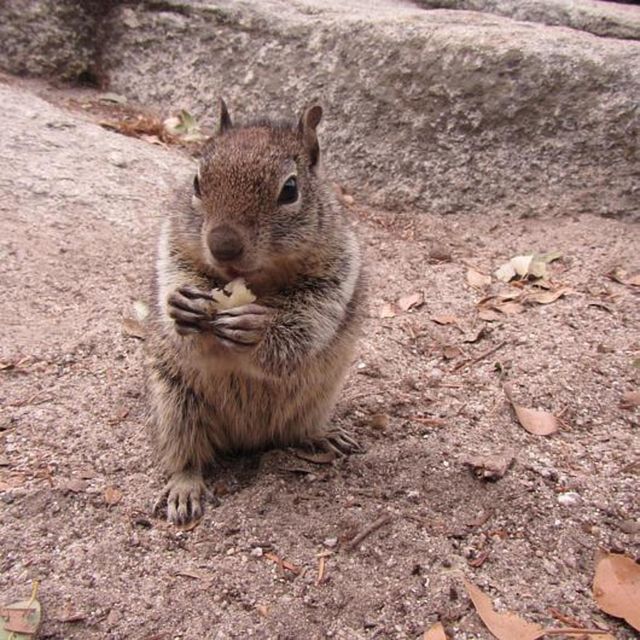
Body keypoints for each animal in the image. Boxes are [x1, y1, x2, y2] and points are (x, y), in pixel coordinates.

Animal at [145, 97, 364, 524]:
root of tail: (249, 438)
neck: (258, 280)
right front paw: (181, 306)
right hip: (176, 405)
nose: (223, 246)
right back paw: (184, 488)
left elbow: (312, 315)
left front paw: (256, 330)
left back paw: (324, 435)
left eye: (290, 190)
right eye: (196, 182)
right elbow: (175, 273)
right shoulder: (176, 242)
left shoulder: (335, 269)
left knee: (297, 431)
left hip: (316, 400)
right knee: (186, 455)